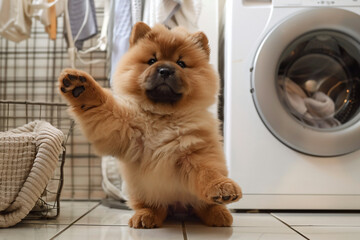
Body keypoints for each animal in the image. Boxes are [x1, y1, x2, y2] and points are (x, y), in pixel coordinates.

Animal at [59, 21, 242, 228]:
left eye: (181, 63)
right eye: (152, 60)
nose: (165, 70)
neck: (162, 115)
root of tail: (178, 208)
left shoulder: (195, 151)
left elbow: (208, 172)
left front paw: (222, 186)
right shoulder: (119, 126)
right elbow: (103, 105)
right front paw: (80, 88)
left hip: (189, 199)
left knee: (203, 206)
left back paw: (219, 214)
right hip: (141, 191)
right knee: (153, 207)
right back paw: (146, 216)